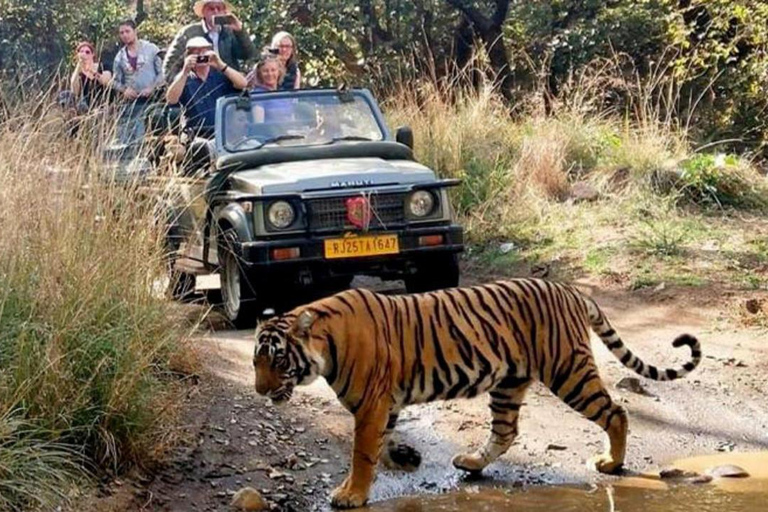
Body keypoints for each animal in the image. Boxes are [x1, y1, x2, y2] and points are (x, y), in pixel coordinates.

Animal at [252, 280, 704, 508]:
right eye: (255, 362)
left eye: (277, 360)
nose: (259, 390)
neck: (325, 347)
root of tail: (570, 290)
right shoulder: (384, 404)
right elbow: (379, 444)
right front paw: (402, 458)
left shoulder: (372, 405)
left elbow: (361, 453)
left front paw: (351, 494)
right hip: (509, 383)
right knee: (505, 432)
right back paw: (470, 462)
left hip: (568, 371)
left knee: (616, 411)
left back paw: (612, 463)